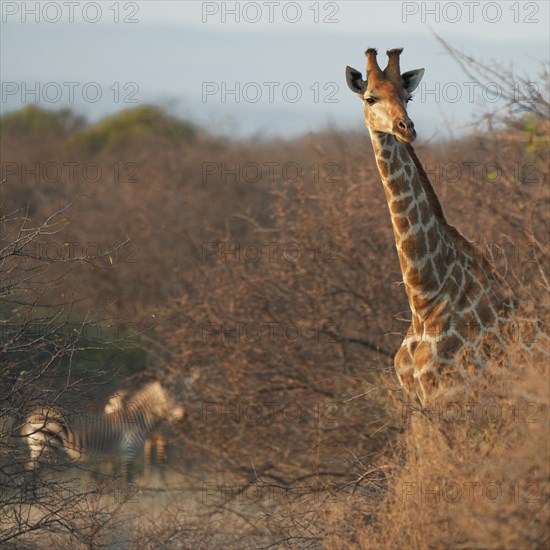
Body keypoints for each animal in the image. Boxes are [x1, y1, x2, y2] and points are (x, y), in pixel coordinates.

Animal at [20, 384, 184, 484]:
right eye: (170, 400)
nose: (185, 416)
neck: (138, 420)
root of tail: (32, 415)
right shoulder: (128, 451)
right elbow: (127, 480)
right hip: (42, 446)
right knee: (31, 472)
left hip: (39, 447)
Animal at [344, 49, 520, 408]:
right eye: (370, 98)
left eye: (408, 96)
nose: (405, 128)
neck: (425, 300)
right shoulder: (417, 399)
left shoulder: (449, 393)